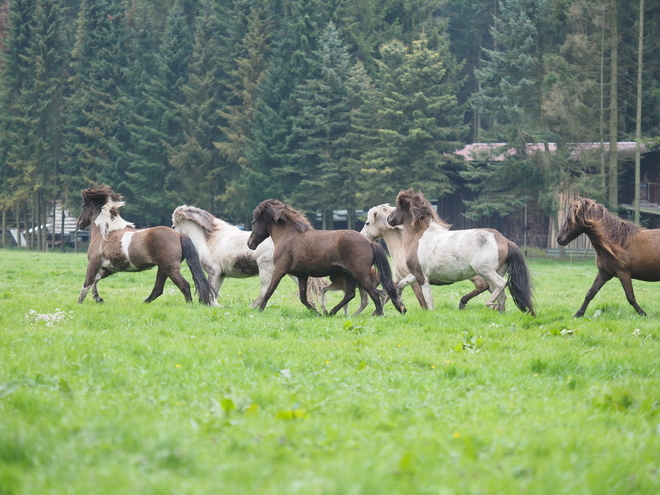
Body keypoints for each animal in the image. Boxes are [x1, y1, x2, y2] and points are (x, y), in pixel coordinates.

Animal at [76, 186, 214, 306]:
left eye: (83, 206)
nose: (79, 223)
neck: (105, 232)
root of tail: (179, 235)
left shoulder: (94, 263)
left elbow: (87, 283)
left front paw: (80, 303)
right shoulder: (109, 268)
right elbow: (96, 279)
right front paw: (98, 298)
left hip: (170, 268)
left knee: (184, 285)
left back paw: (189, 305)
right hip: (163, 268)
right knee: (158, 289)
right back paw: (144, 303)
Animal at [171, 204, 324, 306]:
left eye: (173, 225)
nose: (171, 231)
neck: (210, 239)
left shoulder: (213, 272)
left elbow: (212, 293)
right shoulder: (220, 275)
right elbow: (214, 292)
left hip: (266, 269)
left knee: (264, 291)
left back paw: (251, 308)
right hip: (291, 272)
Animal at [246, 199, 404, 318]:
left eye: (253, 222)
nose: (250, 244)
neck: (289, 235)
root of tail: (370, 242)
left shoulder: (280, 269)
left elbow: (269, 290)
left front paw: (259, 310)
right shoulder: (302, 275)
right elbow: (303, 298)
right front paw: (317, 312)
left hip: (360, 274)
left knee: (374, 294)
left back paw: (378, 314)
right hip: (350, 275)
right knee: (350, 294)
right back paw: (331, 312)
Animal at [360, 203, 490, 308]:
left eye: (367, 223)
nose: (362, 236)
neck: (404, 246)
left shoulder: (415, 278)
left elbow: (422, 300)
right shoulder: (399, 277)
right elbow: (388, 295)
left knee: (484, 285)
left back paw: (464, 302)